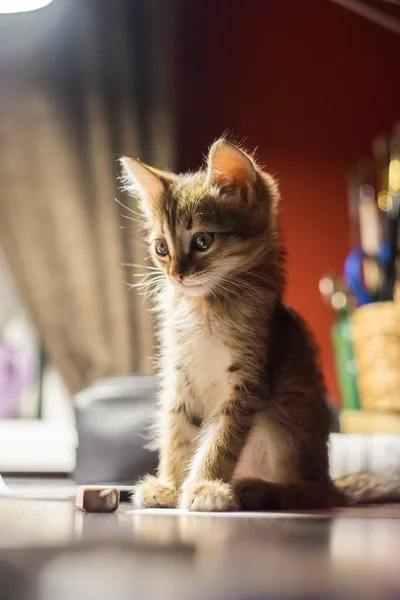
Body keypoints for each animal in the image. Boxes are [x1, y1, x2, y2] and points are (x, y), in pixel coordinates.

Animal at [119, 141, 400, 510]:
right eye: (161, 248)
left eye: (203, 241)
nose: (175, 275)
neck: (204, 307)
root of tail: (332, 483)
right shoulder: (179, 379)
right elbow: (176, 434)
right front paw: (170, 485)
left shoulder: (245, 383)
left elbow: (220, 442)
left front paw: (205, 486)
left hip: (287, 419)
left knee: (309, 492)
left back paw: (255, 488)